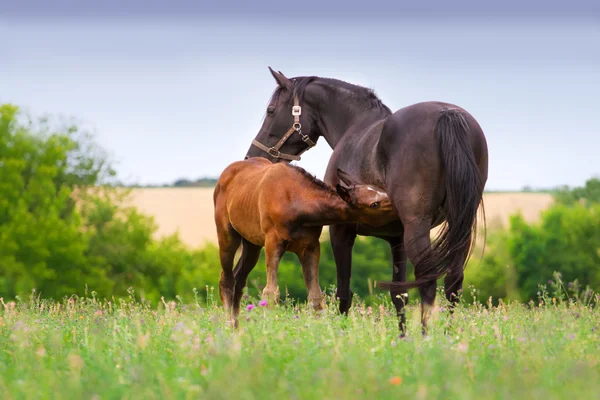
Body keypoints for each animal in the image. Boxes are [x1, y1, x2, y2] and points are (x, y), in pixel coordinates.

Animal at [213, 156, 396, 324]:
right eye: (374, 204)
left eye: (383, 190)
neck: (298, 203)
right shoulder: (273, 242)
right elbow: (270, 292)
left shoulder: (310, 247)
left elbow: (315, 295)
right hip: (227, 235)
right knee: (226, 279)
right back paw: (229, 325)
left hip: (251, 244)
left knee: (239, 279)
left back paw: (238, 326)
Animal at [246, 68, 490, 334]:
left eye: (271, 110)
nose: (252, 156)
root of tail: (448, 115)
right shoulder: (397, 239)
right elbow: (399, 295)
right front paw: (402, 337)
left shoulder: (341, 231)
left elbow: (344, 293)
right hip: (459, 228)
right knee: (453, 283)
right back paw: (449, 336)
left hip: (419, 227)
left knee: (428, 282)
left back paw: (428, 338)